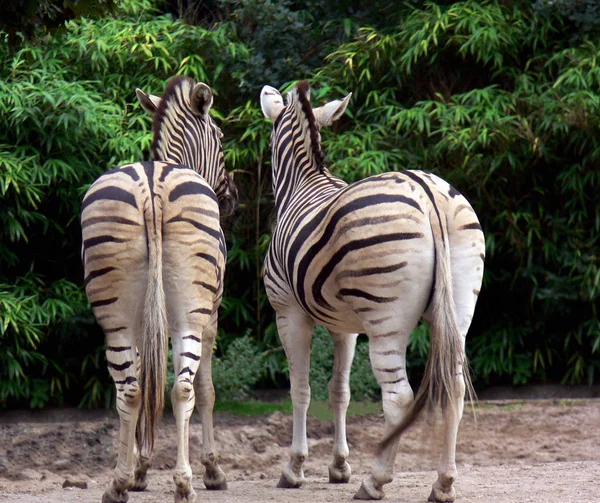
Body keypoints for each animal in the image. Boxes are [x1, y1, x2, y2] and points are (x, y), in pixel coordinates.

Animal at [82, 76, 237, 503]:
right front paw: (213, 470)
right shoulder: (211, 317)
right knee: (184, 388)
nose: (232, 198)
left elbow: (145, 380)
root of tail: (151, 185)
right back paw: (185, 483)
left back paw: (117, 484)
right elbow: (206, 389)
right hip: (191, 314)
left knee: (131, 391)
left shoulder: (142, 322)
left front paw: (139, 469)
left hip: (116, 316)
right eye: (220, 136)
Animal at [260, 80, 486, 502]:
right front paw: (338, 466)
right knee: (455, 387)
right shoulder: (344, 325)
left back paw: (375, 480)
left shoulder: (289, 313)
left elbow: (300, 389)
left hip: (386, 320)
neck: (304, 183)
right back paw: (443, 483)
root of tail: (427, 193)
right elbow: (339, 390)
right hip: (460, 307)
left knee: (399, 398)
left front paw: (294, 468)